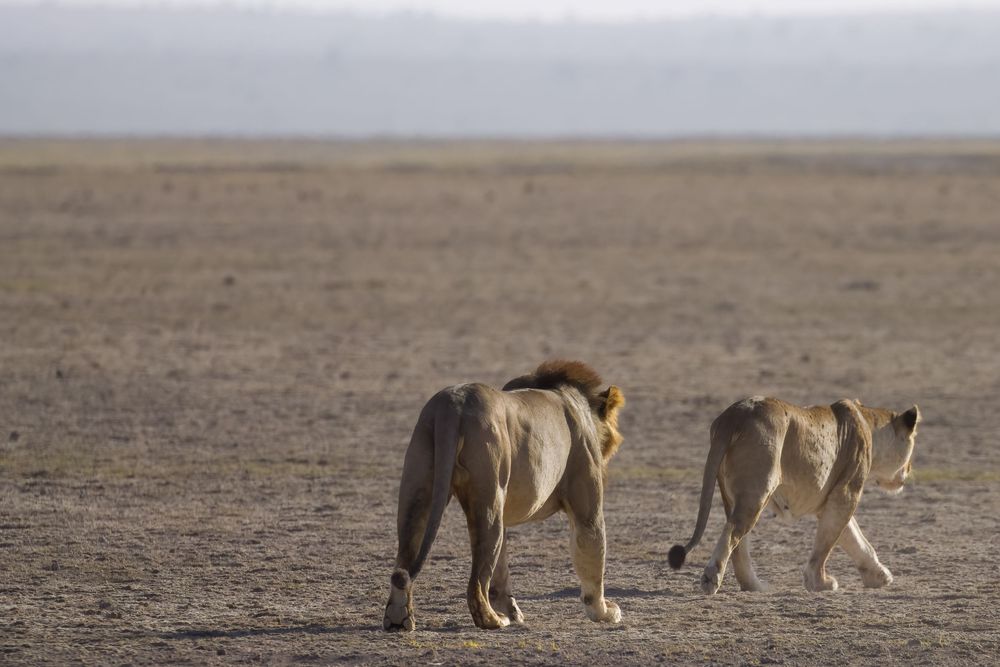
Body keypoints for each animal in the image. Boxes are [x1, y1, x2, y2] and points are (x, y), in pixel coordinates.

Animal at [383, 360, 626, 631]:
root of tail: (452, 404)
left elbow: (502, 568)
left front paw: (512, 610)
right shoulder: (586, 503)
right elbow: (593, 552)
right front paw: (604, 612)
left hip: (419, 485)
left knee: (405, 556)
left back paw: (398, 619)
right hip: (489, 493)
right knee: (476, 583)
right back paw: (493, 620)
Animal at [668, 396, 920, 594]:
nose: (909, 470)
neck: (869, 423)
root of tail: (734, 415)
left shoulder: (831, 498)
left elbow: (855, 538)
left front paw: (879, 576)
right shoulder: (846, 492)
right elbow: (827, 544)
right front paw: (820, 582)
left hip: (735, 495)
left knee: (739, 543)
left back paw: (756, 586)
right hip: (757, 490)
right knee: (732, 533)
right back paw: (712, 579)